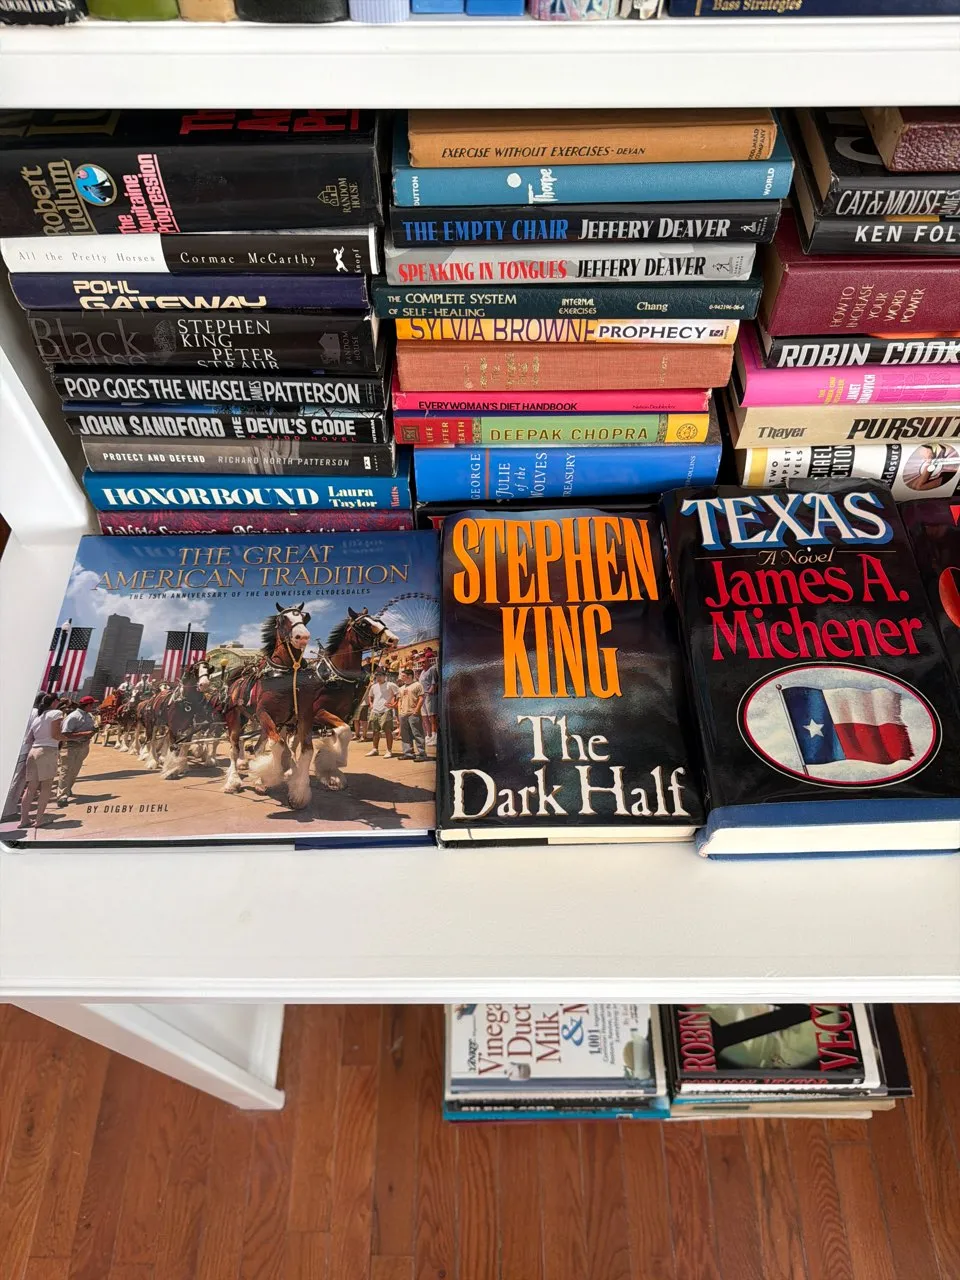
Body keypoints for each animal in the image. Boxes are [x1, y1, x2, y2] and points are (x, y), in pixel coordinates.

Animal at [215, 604, 320, 808]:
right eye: (282, 619)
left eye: (303, 617)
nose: (302, 636)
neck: (286, 673)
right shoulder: (264, 713)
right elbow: (278, 746)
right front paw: (271, 774)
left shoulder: (304, 716)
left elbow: (306, 751)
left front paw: (299, 793)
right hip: (236, 719)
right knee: (234, 749)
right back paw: (233, 782)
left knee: (257, 747)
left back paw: (258, 781)